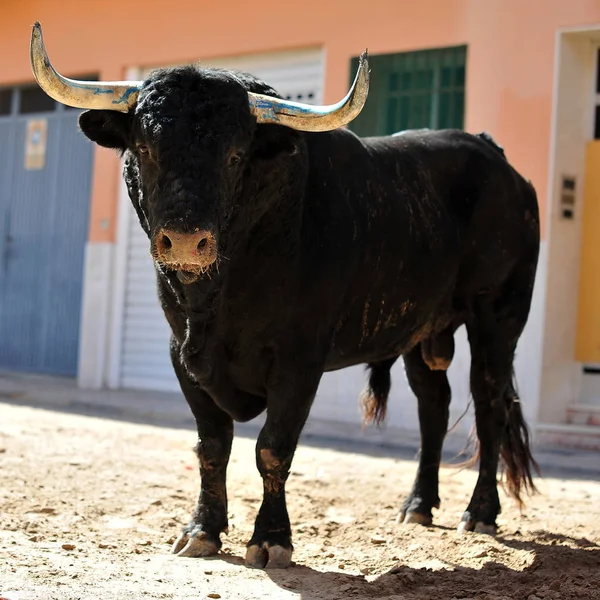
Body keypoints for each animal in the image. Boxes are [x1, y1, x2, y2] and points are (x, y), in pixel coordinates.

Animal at [77, 65, 540, 568]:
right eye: (145, 148)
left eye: (235, 155)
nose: (184, 241)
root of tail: (501, 163)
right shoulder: (182, 354)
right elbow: (212, 446)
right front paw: (201, 530)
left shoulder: (299, 359)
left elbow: (272, 448)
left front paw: (270, 539)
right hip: (422, 335)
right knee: (432, 406)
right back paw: (417, 505)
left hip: (497, 318)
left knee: (489, 406)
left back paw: (480, 513)